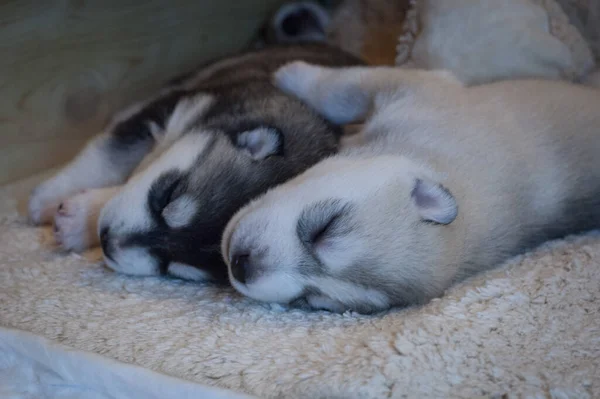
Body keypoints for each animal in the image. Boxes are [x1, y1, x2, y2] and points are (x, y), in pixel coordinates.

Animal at [28, 43, 364, 282]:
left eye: (173, 267)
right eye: (169, 195)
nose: (107, 241)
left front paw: (76, 220)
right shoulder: (171, 109)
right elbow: (107, 159)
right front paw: (46, 199)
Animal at [221, 61, 600, 314]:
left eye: (314, 299)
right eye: (326, 228)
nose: (242, 266)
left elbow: (340, 90)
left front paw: (291, 73)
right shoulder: (418, 89)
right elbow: (342, 92)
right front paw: (290, 74)